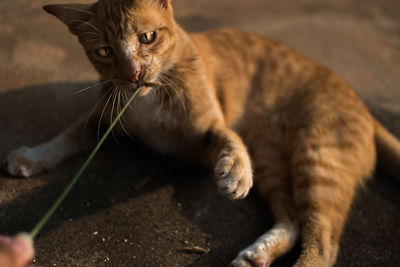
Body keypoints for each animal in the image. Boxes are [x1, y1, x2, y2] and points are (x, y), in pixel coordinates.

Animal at [3, 0, 400, 267]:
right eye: (104, 51)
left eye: (148, 37)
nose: (133, 75)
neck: (150, 101)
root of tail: (361, 102)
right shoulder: (104, 117)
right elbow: (67, 135)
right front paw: (33, 156)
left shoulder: (209, 129)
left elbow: (229, 140)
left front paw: (236, 171)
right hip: (273, 163)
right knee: (292, 220)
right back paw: (258, 254)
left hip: (318, 160)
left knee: (322, 242)